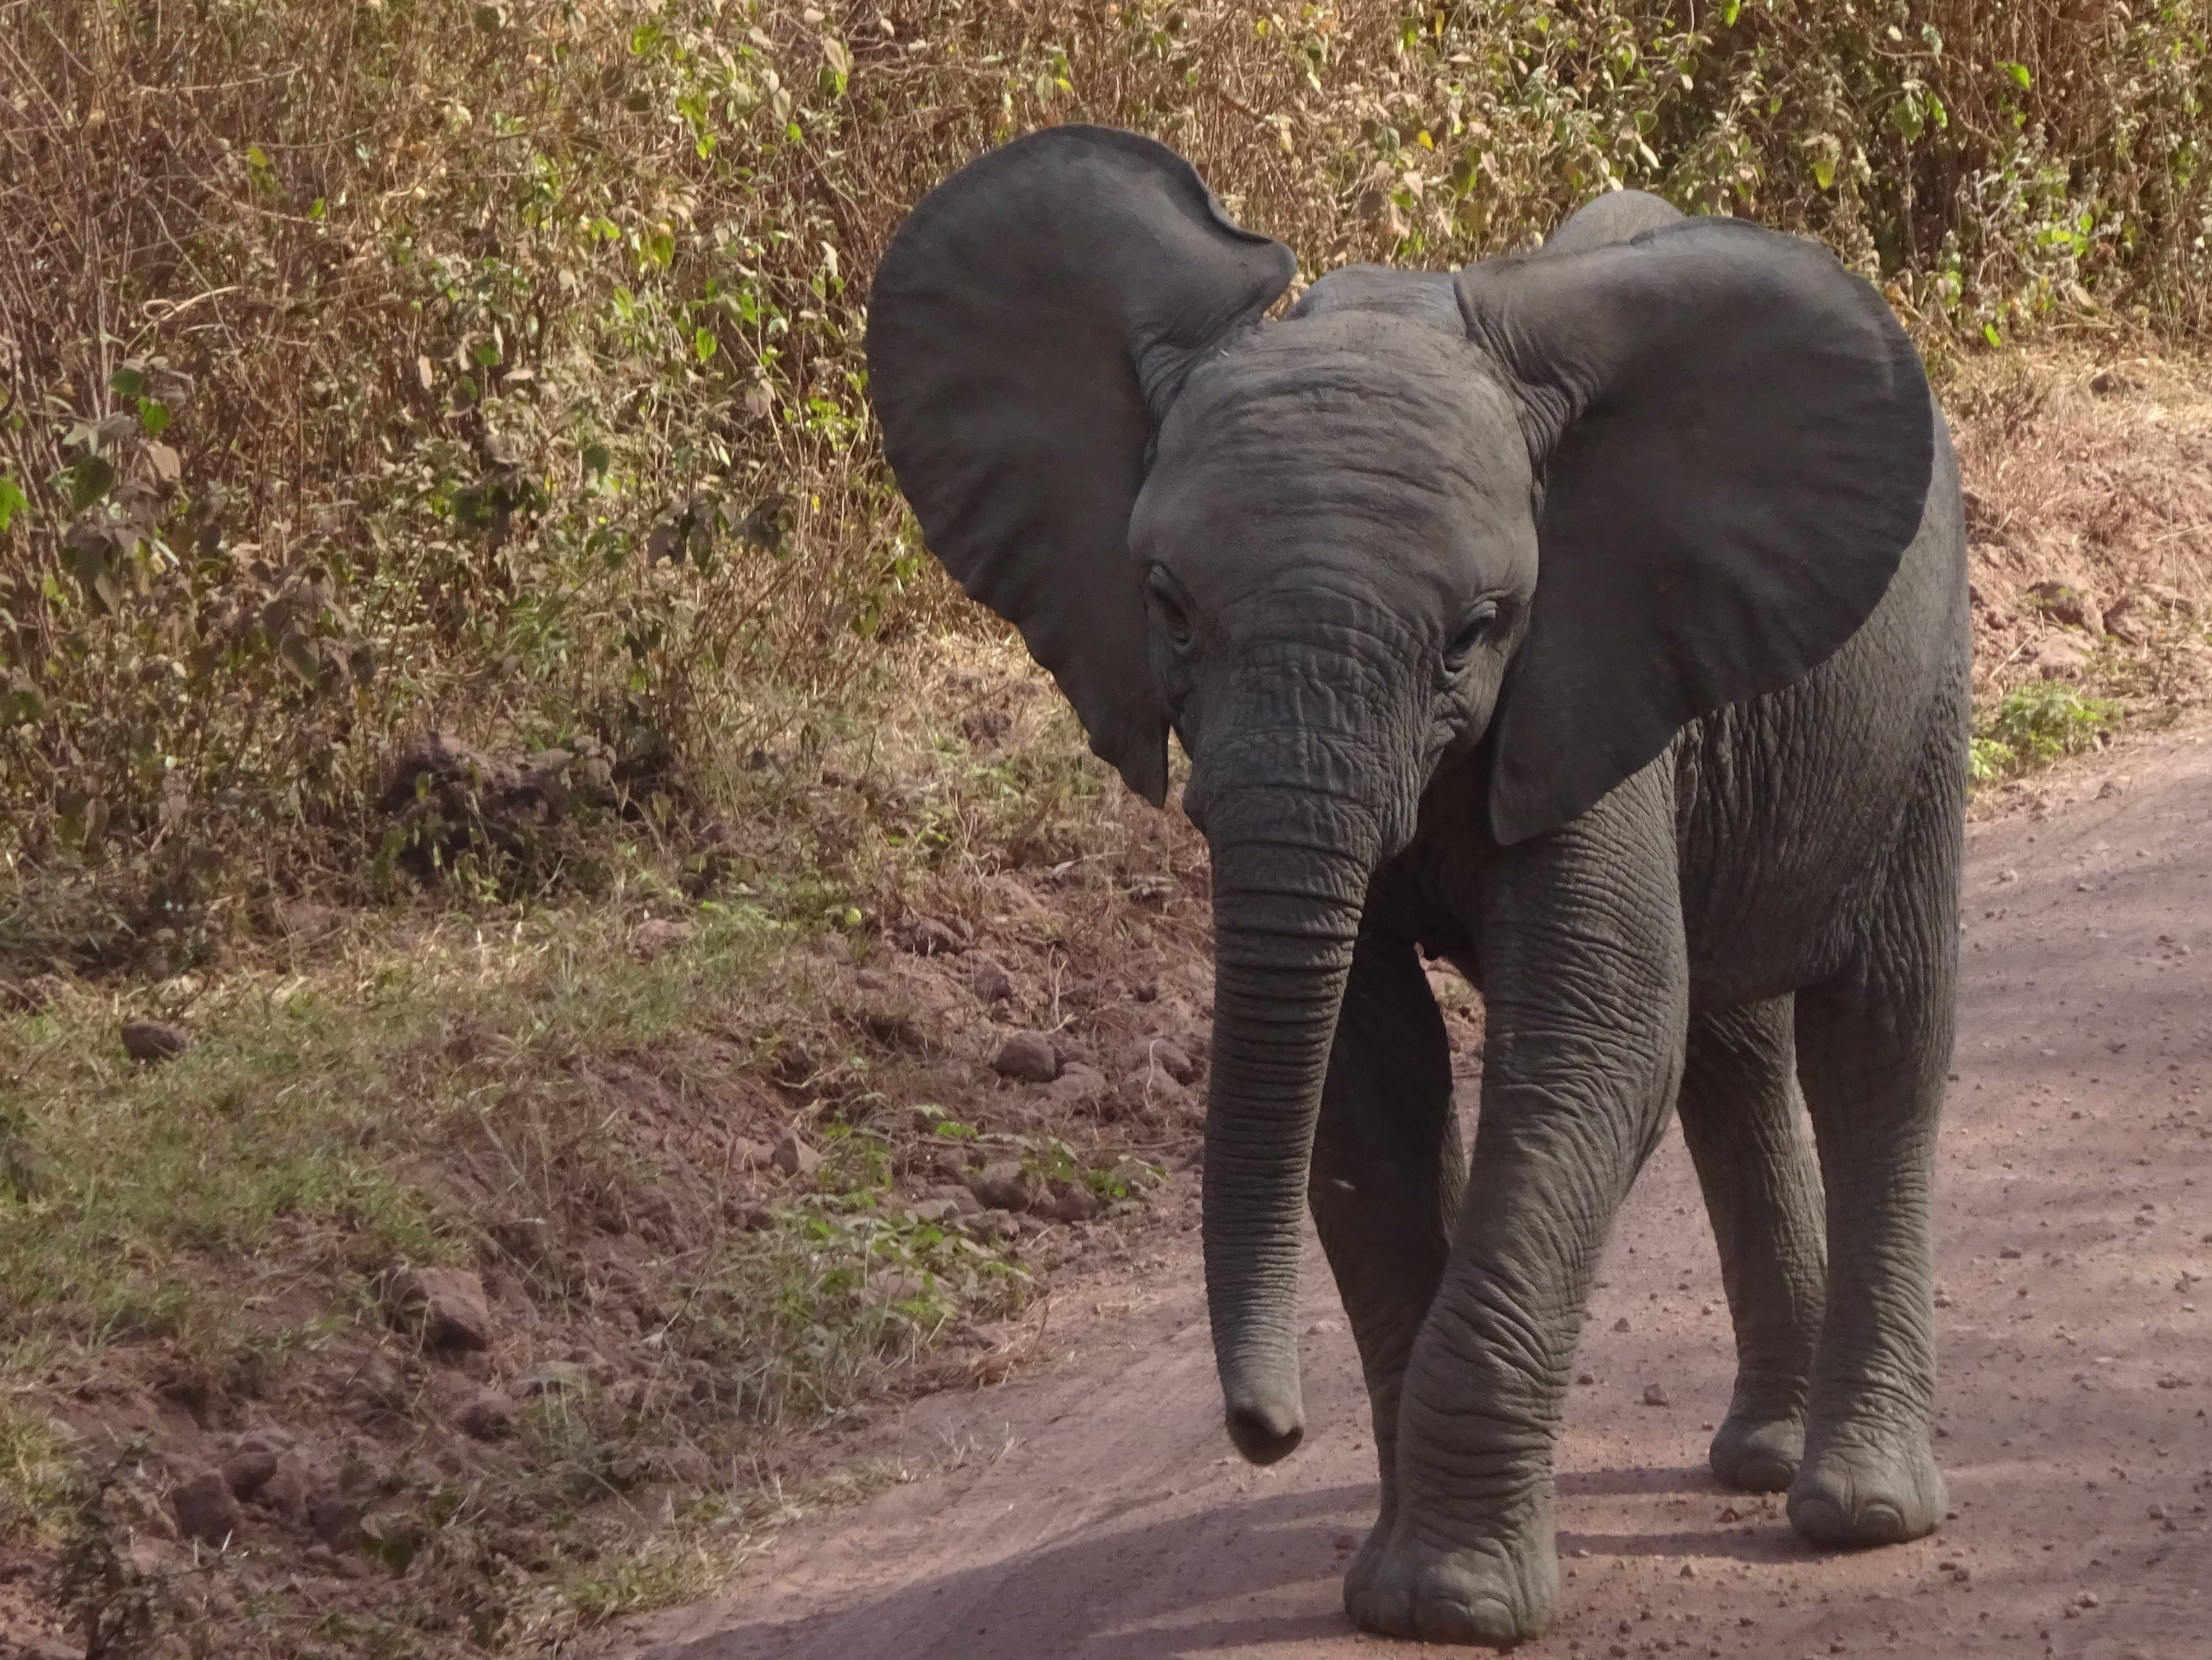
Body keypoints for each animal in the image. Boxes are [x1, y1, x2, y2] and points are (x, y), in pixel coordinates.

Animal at [862, 123, 1973, 1647]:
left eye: (1475, 630)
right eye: (1167, 606)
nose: (1268, 1431)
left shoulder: (1587, 668)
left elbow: (1590, 1043)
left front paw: (1451, 1603)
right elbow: (1367, 1073)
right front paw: (1393, 1583)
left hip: (1925, 691)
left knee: (1875, 1041)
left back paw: (1853, 1511)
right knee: (1731, 1052)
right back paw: (1754, 1456)